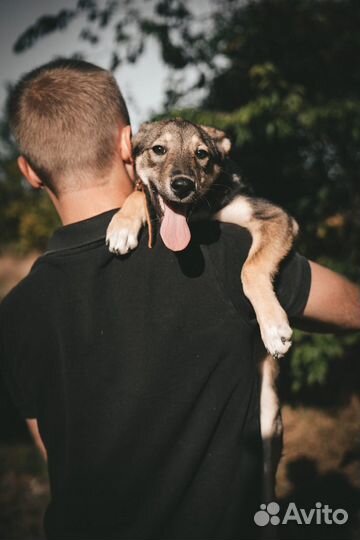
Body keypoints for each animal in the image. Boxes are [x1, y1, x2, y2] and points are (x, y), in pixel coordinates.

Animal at [105, 119, 300, 502]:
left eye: (202, 154)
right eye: (159, 149)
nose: (182, 186)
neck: (195, 216)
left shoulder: (274, 217)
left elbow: (250, 268)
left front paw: (273, 326)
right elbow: (139, 193)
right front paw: (122, 223)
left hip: (269, 419)